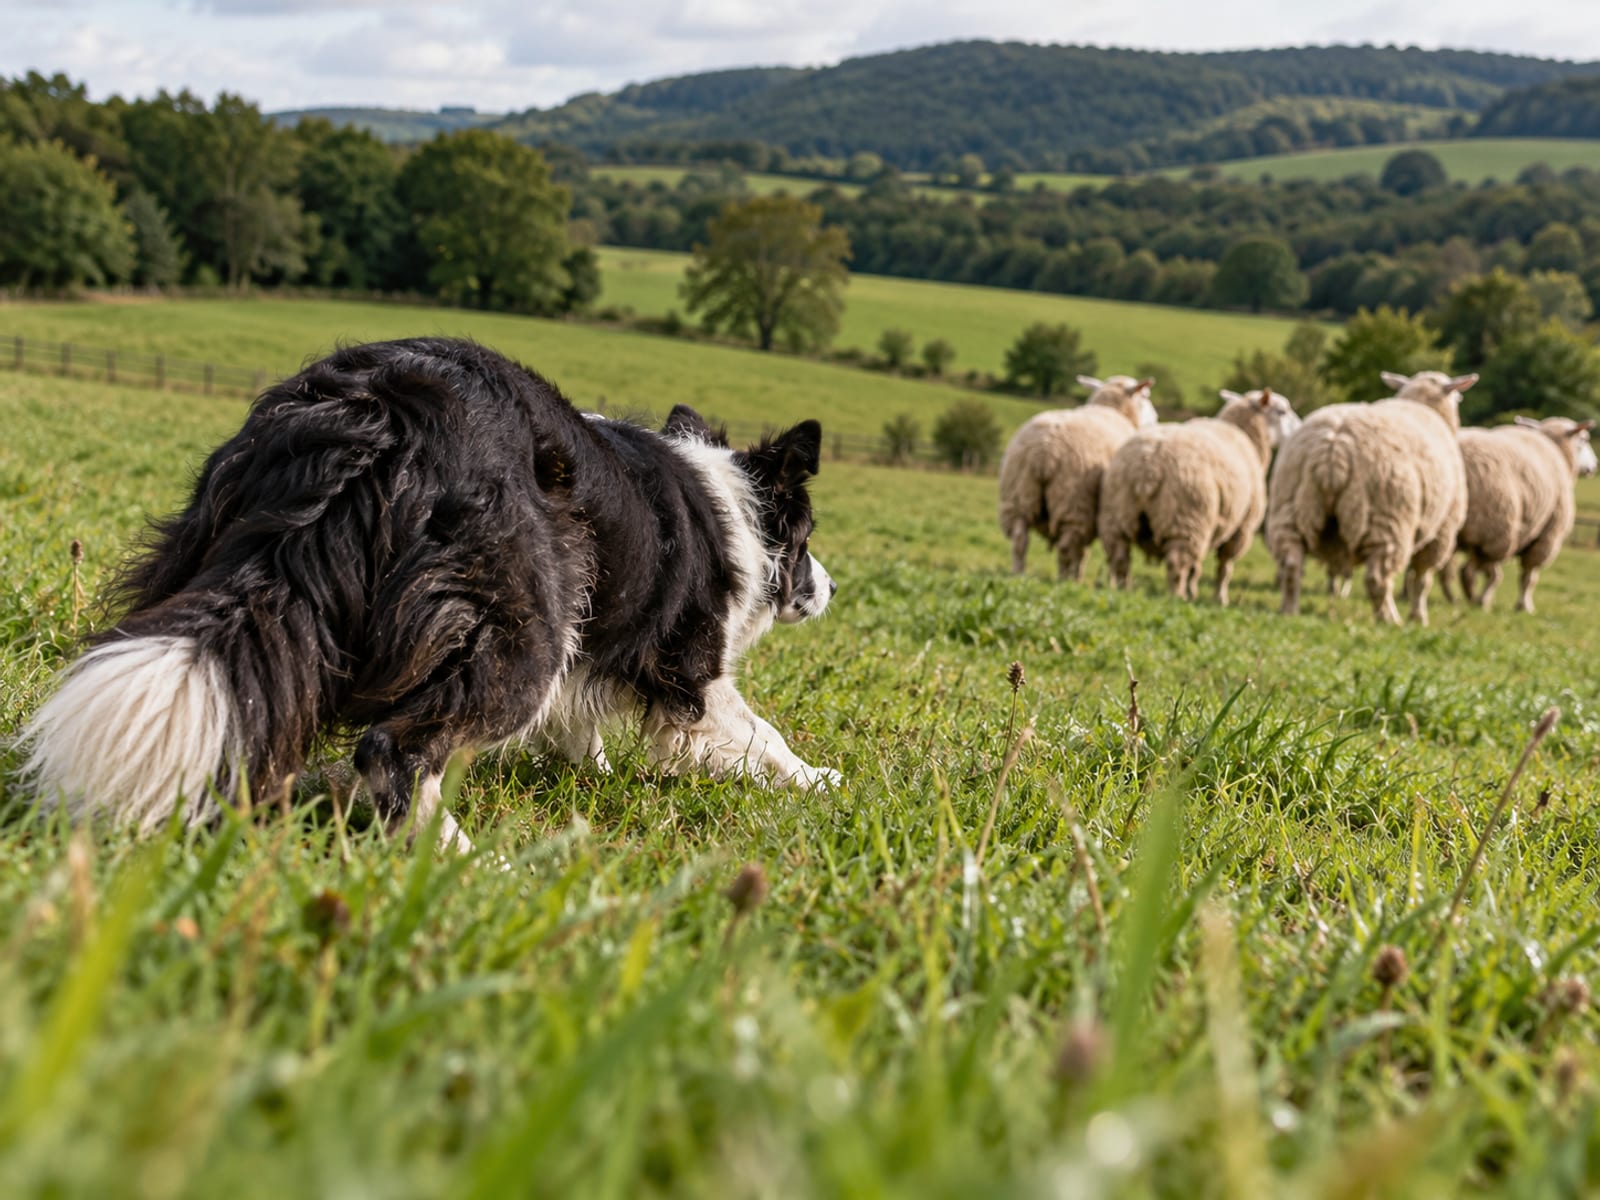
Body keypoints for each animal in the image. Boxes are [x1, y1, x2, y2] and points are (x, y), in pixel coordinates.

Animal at [997, 375, 1158, 579]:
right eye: (1146, 395)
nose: (1156, 419)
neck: (1115, 411)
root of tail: (1044, 450)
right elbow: (1085, 552)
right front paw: (1080, 577)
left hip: (1017, 497)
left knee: (1019, 541)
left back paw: (1018, 575)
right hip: (1073, 503)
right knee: (1066, 548)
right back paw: (1065, 580)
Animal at [1099, 388, 1300, 604]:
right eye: (1281, 411)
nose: (1299, 427)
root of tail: (1148, 466)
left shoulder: (1207, 529)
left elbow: (1195, 568)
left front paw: (1193, 592)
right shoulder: (1241, 528)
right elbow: (1224, 568)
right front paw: (1220, 599)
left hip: (1117, 516)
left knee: (1120, 558)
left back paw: (1123, 590)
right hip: (1185, 519)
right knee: (1176, 564)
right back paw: (1176, 598)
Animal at [1265, 370, 1476, 625]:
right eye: (1459, 398)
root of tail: (1333, 447)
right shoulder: (1441, 531)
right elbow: (1422, 581)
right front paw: (1419, 618)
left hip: (1288, 510)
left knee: (1291, 567)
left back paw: (1289, 610)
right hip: (1389, 520)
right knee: (1377, 580)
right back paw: (1390, 620)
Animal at [1440, 416, 1597, 613]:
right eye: (1584, 439)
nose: (1594, 466)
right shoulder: (1547, 535)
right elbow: (1529, 578)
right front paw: (1525, 606)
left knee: (1446, 569)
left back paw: (1453, 600)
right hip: (1493, 526)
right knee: (1471, 571)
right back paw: (1478, 600)